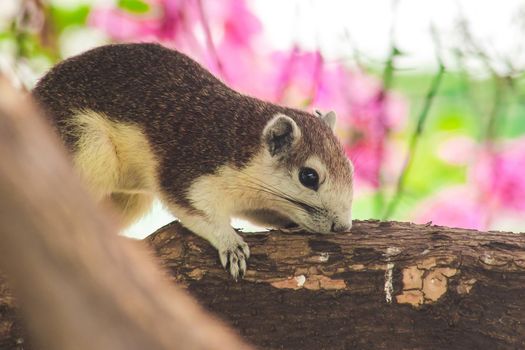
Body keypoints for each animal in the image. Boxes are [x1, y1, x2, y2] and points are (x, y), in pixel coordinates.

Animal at [31, 43, 352, 278]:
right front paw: (231, 244)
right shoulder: (189, 173)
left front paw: (289, 223)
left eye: (349, 168)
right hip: (86, 146)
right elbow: (200, 214)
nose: (343, 227)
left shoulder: (252, 198)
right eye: (309, 177)